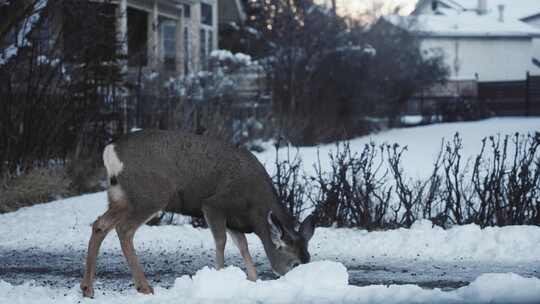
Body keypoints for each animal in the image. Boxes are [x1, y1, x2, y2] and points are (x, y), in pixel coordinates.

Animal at [80, 129, 316, 298]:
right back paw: (144, 287)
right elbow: (221, 242)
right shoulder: (214, 205)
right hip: (150, 195)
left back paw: (88, 288)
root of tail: (110, 150)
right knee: (124, 229)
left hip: (120, 196)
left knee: (101, 224)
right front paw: (220, 276)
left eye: (308, 259)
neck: (254, 210)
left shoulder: (234, 221)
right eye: (294, 263)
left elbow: (243, 246)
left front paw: (252, 279)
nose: (302, 277)